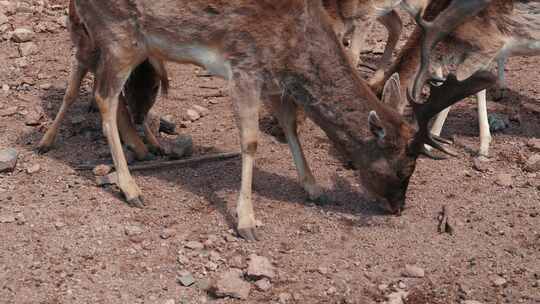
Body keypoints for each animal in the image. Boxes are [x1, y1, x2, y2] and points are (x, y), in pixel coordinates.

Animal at [56, 0, 494, 240]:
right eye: (405, 166)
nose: (399, 207)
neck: (293, 47)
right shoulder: (244, 65)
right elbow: (250, 141)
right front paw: (247, 221)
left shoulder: (273, 81)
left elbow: (290, 125)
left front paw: (314, 187)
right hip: (119, 34)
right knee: (104, 98)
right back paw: (131, 188)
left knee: (107, 92)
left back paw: (139, 149)